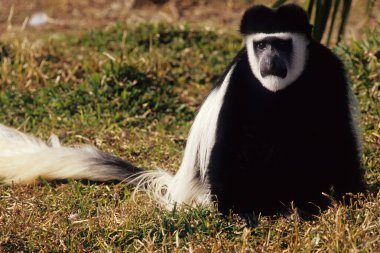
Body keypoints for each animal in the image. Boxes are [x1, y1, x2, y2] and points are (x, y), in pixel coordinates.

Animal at [0, 3, 366, 219]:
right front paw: (241, 214)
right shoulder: (241, 81)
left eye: (282, 43)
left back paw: (304, 204)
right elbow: (229, 143)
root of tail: (179, 188)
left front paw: (347, 200)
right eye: (262, 44)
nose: (269, 60)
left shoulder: (328, 71)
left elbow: (338, 135)